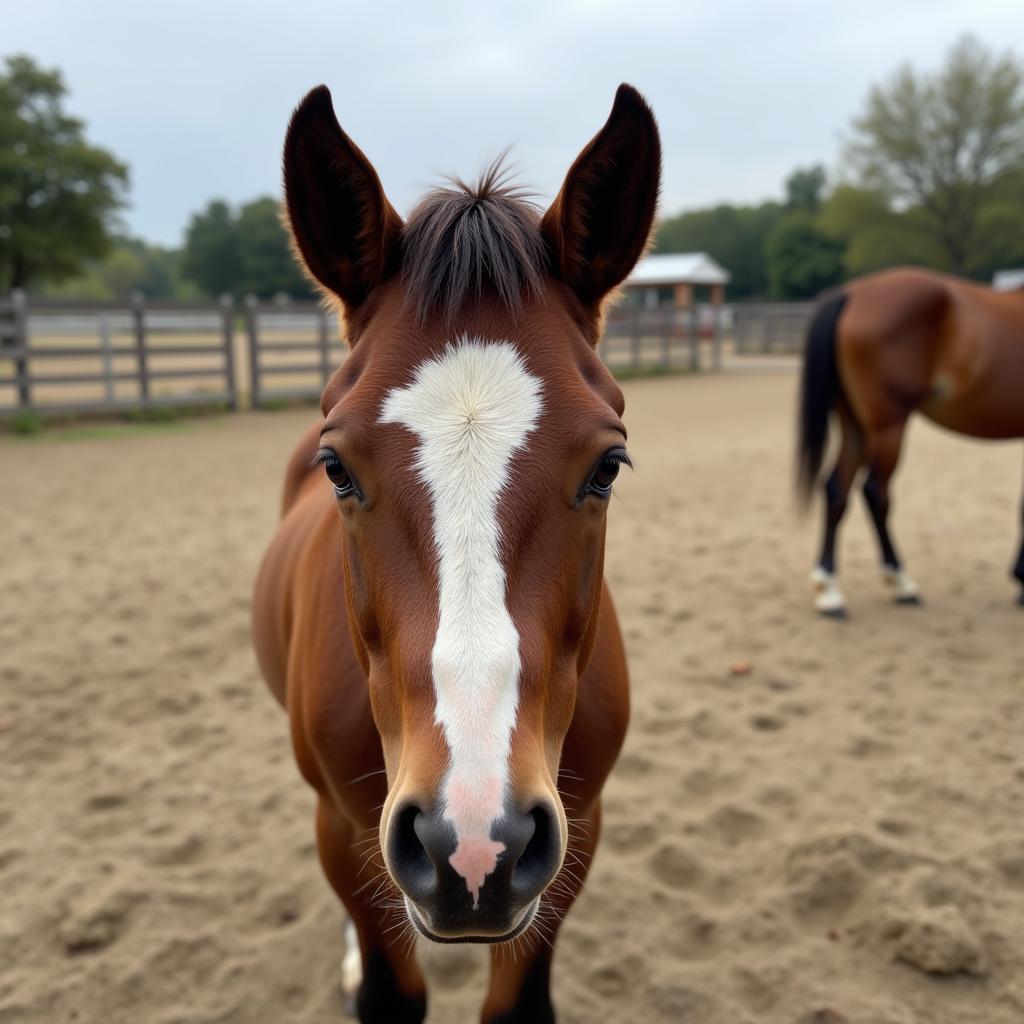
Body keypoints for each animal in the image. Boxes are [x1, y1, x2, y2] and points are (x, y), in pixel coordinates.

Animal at [798, 266, 1024, 614]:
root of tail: (851, 293)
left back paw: (829, 590)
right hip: (888, 428)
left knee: (837, 489)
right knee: (875, 493)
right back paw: (901, 582)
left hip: (855, 427)